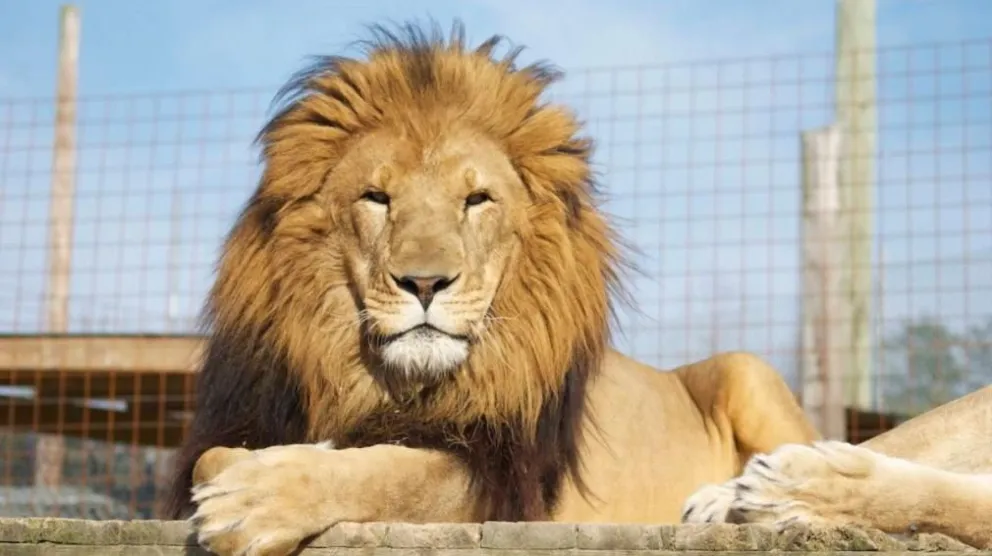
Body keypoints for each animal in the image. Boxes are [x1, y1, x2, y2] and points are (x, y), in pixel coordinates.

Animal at [163, 22, 827, 555]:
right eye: (376, 198)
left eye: (476, 199)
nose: (424, 282)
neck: (395, 386)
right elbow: (211, 461)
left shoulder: (502, 476)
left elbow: (393, 476)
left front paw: (253, 500)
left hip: (746, 370)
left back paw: (735, 497)